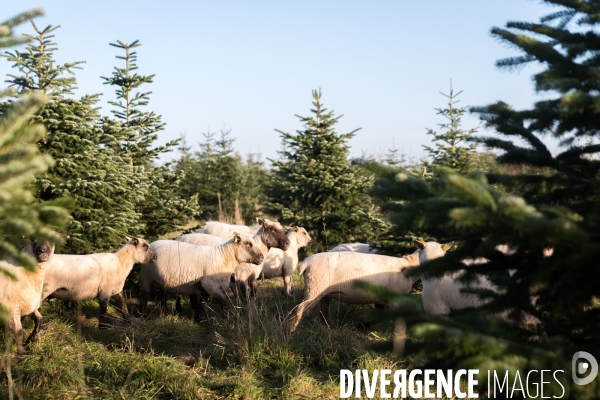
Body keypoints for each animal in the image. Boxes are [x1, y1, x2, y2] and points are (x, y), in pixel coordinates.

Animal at [288, 250, 422, 332]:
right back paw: (290, 332)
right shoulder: (395, 298)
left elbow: (379, 315)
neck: (409, 266)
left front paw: (362, 326)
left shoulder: (380, 299)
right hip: (315, 287)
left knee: (323, 312)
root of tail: (305, 263)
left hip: (323, 292)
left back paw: (332, 330)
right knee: (299, 310)